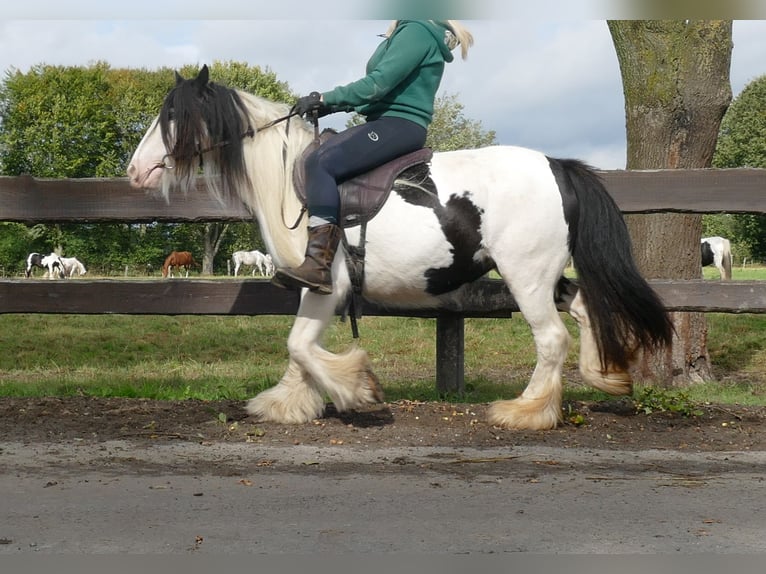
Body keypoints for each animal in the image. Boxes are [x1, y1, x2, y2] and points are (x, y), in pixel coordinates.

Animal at [126, 64, 672, 432]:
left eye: (172, 117)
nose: (134, 171)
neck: (286, 177)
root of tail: (557, 166)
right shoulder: (316, 289)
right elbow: (298, 348)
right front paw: (289, 402)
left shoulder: (326, 284)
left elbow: (300, 344)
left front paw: (357, 388)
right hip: (544, 274)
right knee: (581, 307)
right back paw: (604, 377)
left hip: (526, 277)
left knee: (552, 339)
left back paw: (526, 410)